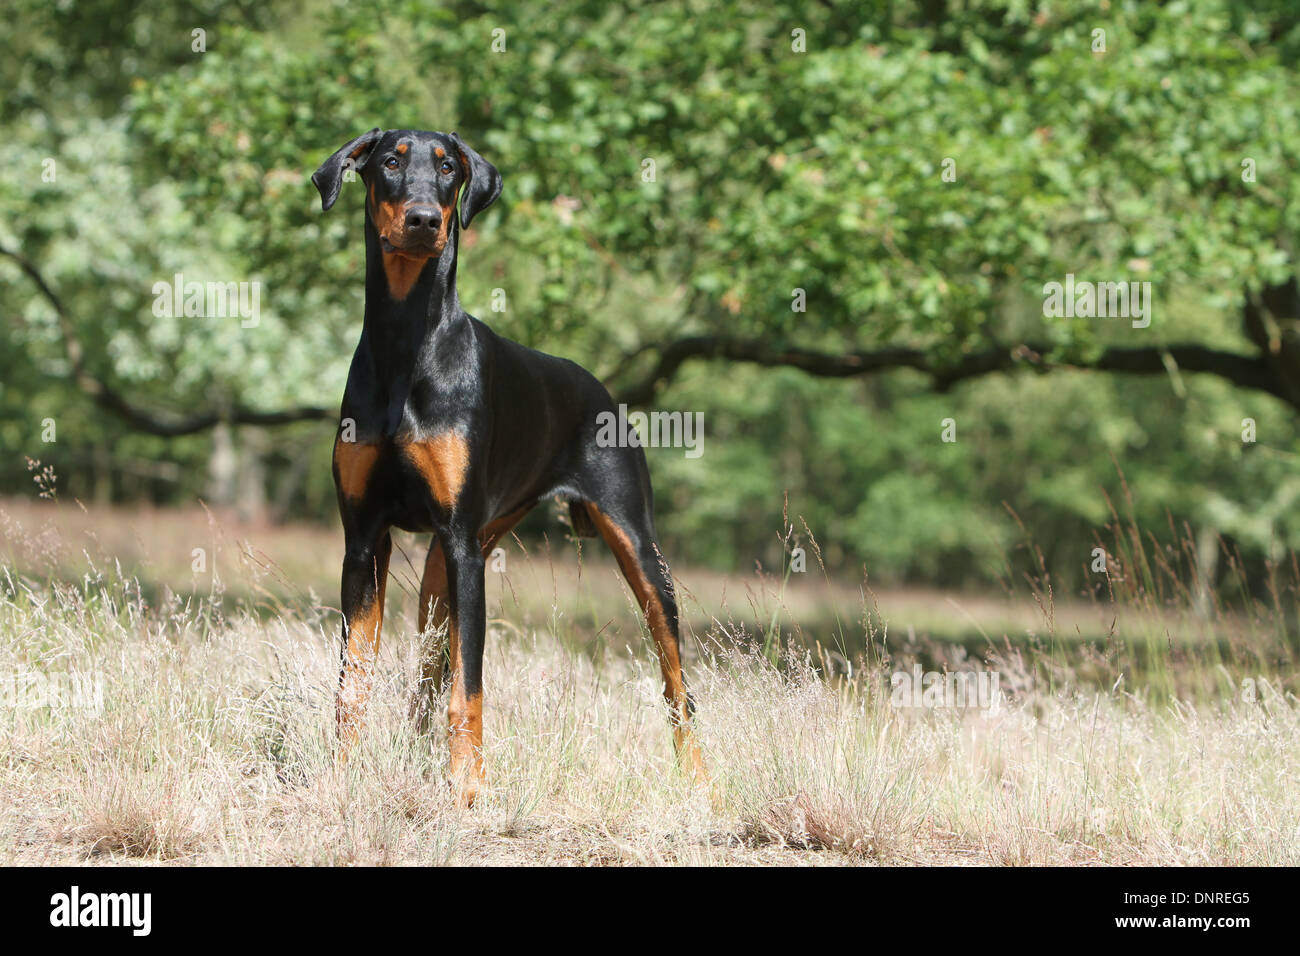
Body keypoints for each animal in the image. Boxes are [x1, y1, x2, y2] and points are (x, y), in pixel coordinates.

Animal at [310, 123, 707, 806]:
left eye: (448, 168)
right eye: (389, 162)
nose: (423, 220)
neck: (405, 341)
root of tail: (599, 388)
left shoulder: (464, 546)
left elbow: (468, 689)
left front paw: (468, 793)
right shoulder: (363, 541)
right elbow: (352, 681)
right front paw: (341, 778)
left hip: (635, 548)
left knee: (676, 680)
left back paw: (701, 781)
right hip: (445, 568)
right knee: (428, 671)